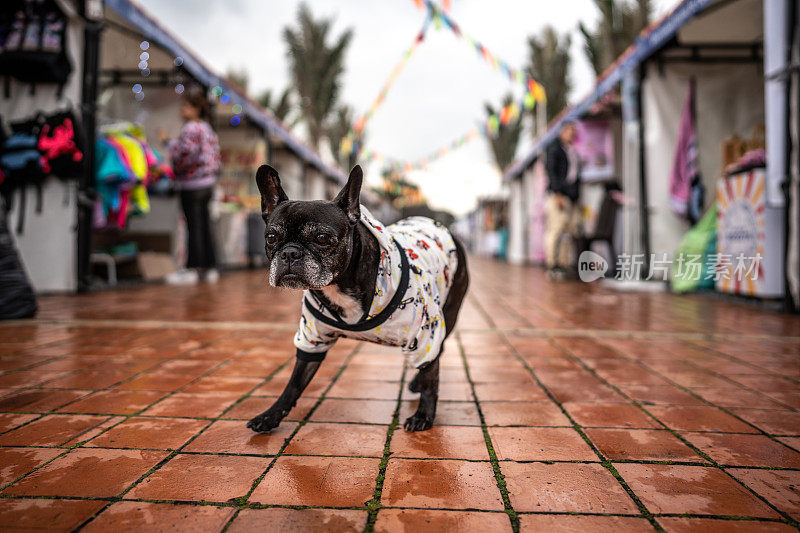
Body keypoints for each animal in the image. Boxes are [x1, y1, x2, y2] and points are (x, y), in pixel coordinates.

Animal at [245, 164, 468, 430]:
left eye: (322, 238)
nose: (290, 253)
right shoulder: (312, 339)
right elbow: (295, 382)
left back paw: (417, 383)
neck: (340, 285)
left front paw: (424, 415)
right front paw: (271, 414)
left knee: (437, 353)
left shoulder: (424, 335)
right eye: (271, 238)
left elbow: (431, 376)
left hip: (449, 313)